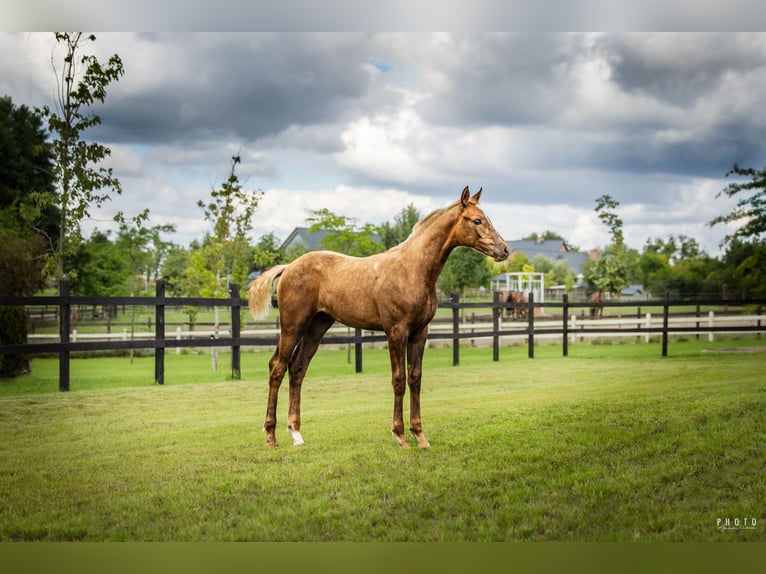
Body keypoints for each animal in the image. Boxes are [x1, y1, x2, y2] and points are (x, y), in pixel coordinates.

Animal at [248, 186, 509, 448]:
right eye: (477, 220)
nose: (504, 250)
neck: (412, 269)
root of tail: (288, 267)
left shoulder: (420, 332)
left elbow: (415, 378)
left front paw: (420, 436)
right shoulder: (396, 331)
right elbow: (399, 379)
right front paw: (400, 435)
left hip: (317, 326)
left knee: (298, 368)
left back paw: (296, 433)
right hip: (293, 325)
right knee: (277, 368)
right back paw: (270, 436)